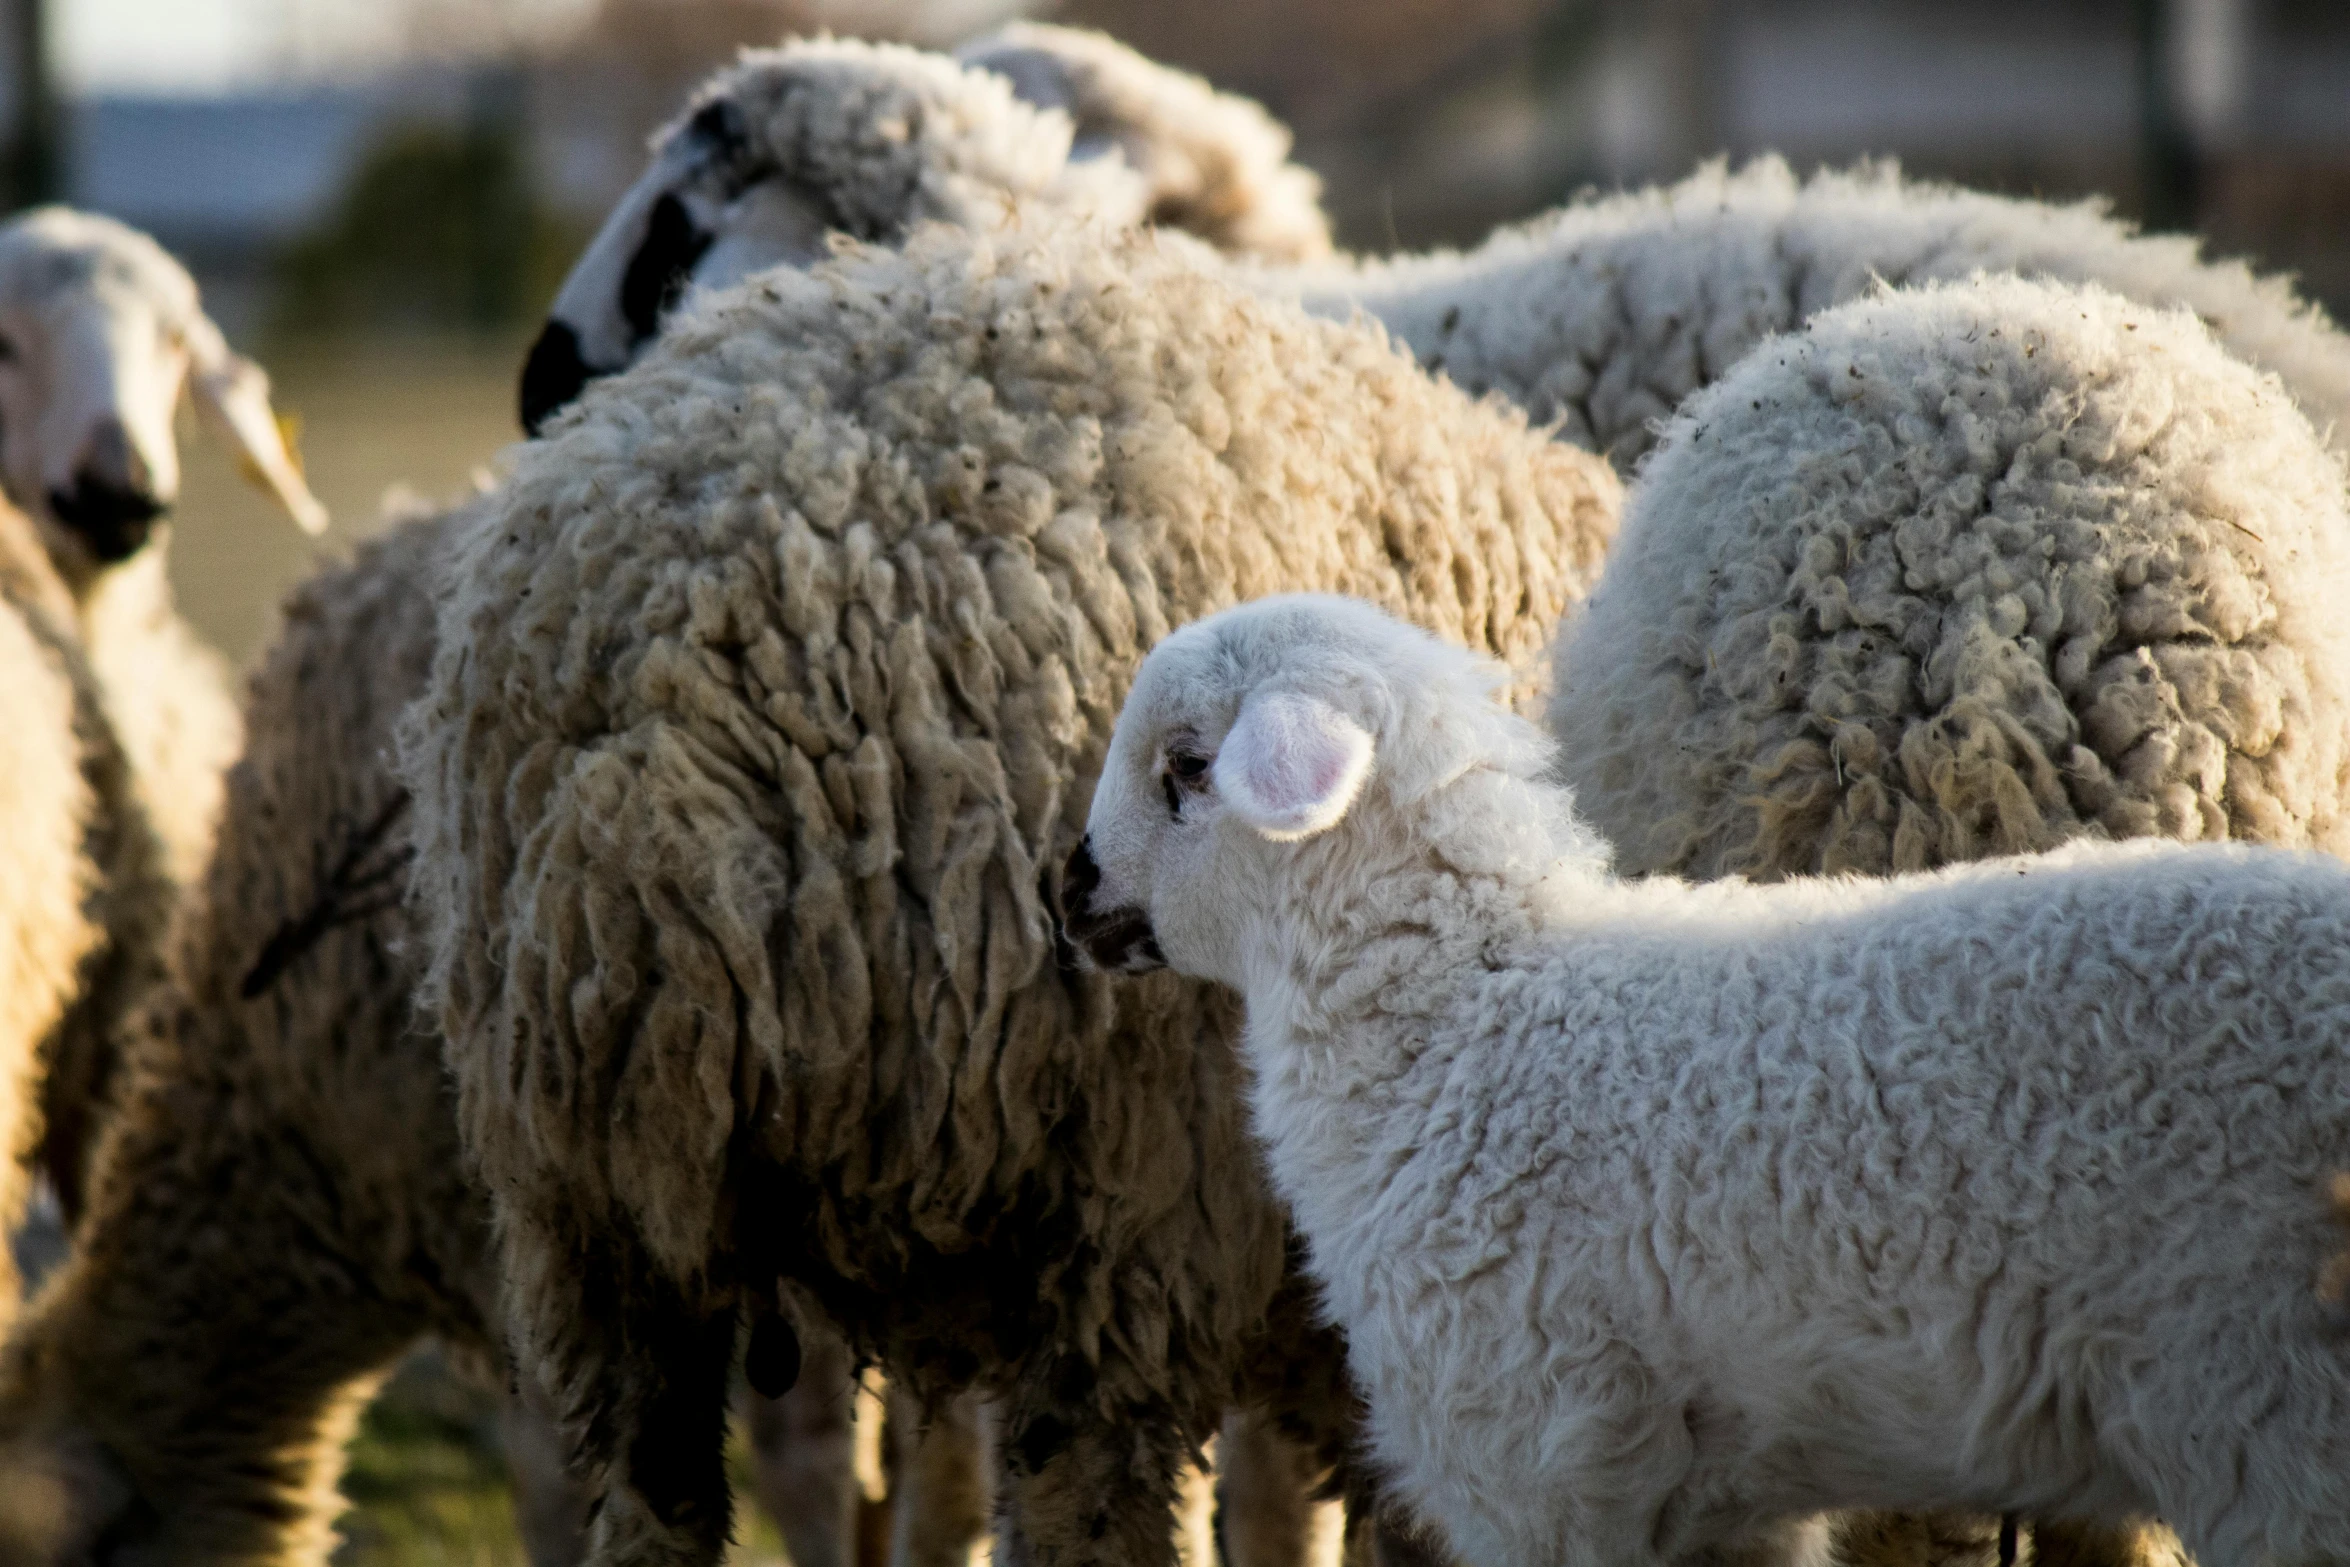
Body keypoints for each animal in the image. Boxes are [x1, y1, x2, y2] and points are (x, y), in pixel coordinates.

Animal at [1062, 594, 2350, 1567]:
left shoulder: (1537, 1457)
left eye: (1186, 767)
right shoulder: (1719, 1500)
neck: (1464, 1017)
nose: (1064, 892)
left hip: (2262, 1403)